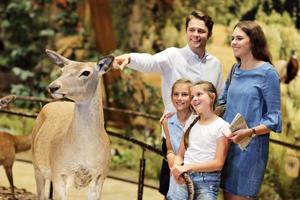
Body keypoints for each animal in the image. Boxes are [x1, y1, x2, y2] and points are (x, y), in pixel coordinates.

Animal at [31, 49, 113, 199]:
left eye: (86, 72)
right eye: (62, 70)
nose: (53, 87)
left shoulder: (100, 177)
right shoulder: (58, 173)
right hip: (36, 166)